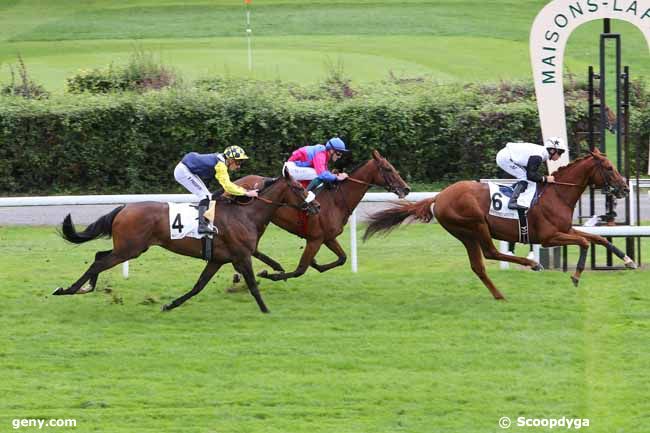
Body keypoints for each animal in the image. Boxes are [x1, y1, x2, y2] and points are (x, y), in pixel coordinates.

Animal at [53, 170, 318, 312]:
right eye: (298, 187)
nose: (315, 206)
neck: (245, 215)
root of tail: (124, 208)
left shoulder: (218, 259)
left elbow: (198, 285)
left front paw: (170, 305)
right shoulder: (241, 256)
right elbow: (252, 284)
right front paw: (265, 310)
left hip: (128, 247)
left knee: (99, 256)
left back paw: (85, 287)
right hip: (129, 249)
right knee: (99, 262)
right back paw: (68, 289)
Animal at [234, 150, 410, 280]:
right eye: (388, 169)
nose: (406, 189)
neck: (336, 200)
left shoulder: (328, 237)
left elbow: (342, 258)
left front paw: (315, 263)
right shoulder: (315, 239)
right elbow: (300, 270)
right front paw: (271, 275)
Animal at [364, 149, 632, 300]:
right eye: (609, 168)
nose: (625, 188)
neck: (557, 193)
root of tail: (438, 197)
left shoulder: (564, 229)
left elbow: (598, 238)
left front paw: (628, 260)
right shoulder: (549, 237)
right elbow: (585, 241)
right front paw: (575, 276)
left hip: (465, 234)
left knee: (478, 265)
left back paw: (499, 294)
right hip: (475, 224)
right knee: (491, 253)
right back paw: (532, 264)